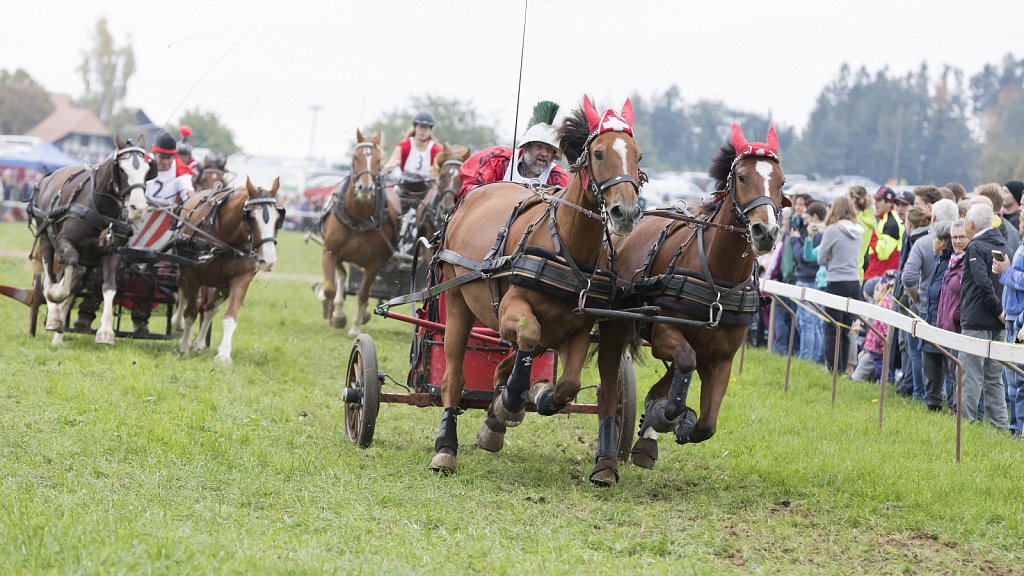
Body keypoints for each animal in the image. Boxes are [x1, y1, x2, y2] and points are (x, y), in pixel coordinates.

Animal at [29, 132, 151, 342]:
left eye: (147, 170)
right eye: (122, 169)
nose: (139, 207)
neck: (100, 207)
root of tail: (48, 177)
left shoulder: (112, 252)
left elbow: (108, 286)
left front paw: (106, 331)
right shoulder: (64, 242)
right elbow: (65, 274)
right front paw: (56, 300)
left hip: (87, 260)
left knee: (73, 283)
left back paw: (58, 335)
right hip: (46, 238)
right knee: (48, 279)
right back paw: (53, 315)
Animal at [172, 177, 284, 360]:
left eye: (278, 219)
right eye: (251, 217)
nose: (268, 260)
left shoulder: (241, 278)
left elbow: (230, 317)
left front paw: (223, 354)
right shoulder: (193, 275)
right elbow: (191, 312)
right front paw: (184, 346)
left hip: (220, 284)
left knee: (210, 309)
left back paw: (199, 343)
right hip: (184, 270)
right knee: (182, 294)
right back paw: (178, 323)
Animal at [319, 127, 399, 334]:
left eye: (378, 161)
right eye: (355, 158)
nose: (365, 187)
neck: (358, 218)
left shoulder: (376, 263)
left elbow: (363, 293)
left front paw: (356, 327)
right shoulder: (330, 252)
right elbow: (330, 288)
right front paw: (335, 314)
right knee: (341, 277)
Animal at [430, 97, 638, 475]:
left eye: (638, 155)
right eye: (599, 153)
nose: (625, 213)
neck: (565, 245)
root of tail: (472, 197)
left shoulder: (576, 329)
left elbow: (568, 384)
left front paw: (532, 400)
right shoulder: (512, 310)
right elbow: (527, 333)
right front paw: (509, 402)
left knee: (511, 361)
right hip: (456, 299)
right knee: (454, 376)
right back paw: (446, 447)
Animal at [593, 121, 782, 475]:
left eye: (780, 181)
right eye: (742, 177)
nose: (765, 232)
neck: (718, 282)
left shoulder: (722, 357)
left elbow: (706, 424)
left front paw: (670, 420)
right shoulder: (665, 331)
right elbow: (683, 363)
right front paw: (665, 414)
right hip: (618, 323)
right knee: (612, 380)